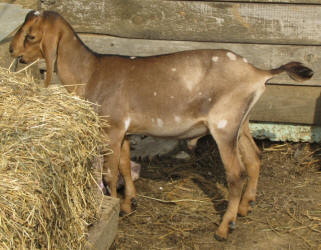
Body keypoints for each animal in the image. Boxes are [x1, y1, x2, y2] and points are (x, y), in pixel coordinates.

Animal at [10, 10, 312, 240]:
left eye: (31, 35)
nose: (12, 51)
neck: (91, 71)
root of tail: (259, 73)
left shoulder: (112, 127)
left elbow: (110, 174)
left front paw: (116, 206)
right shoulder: (125, 130)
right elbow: (125, 165)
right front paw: (130, 203)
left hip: (224, 125)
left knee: (236, 173)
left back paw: (224, 228)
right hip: (242, 122)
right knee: (254, 157)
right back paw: (246, 208)